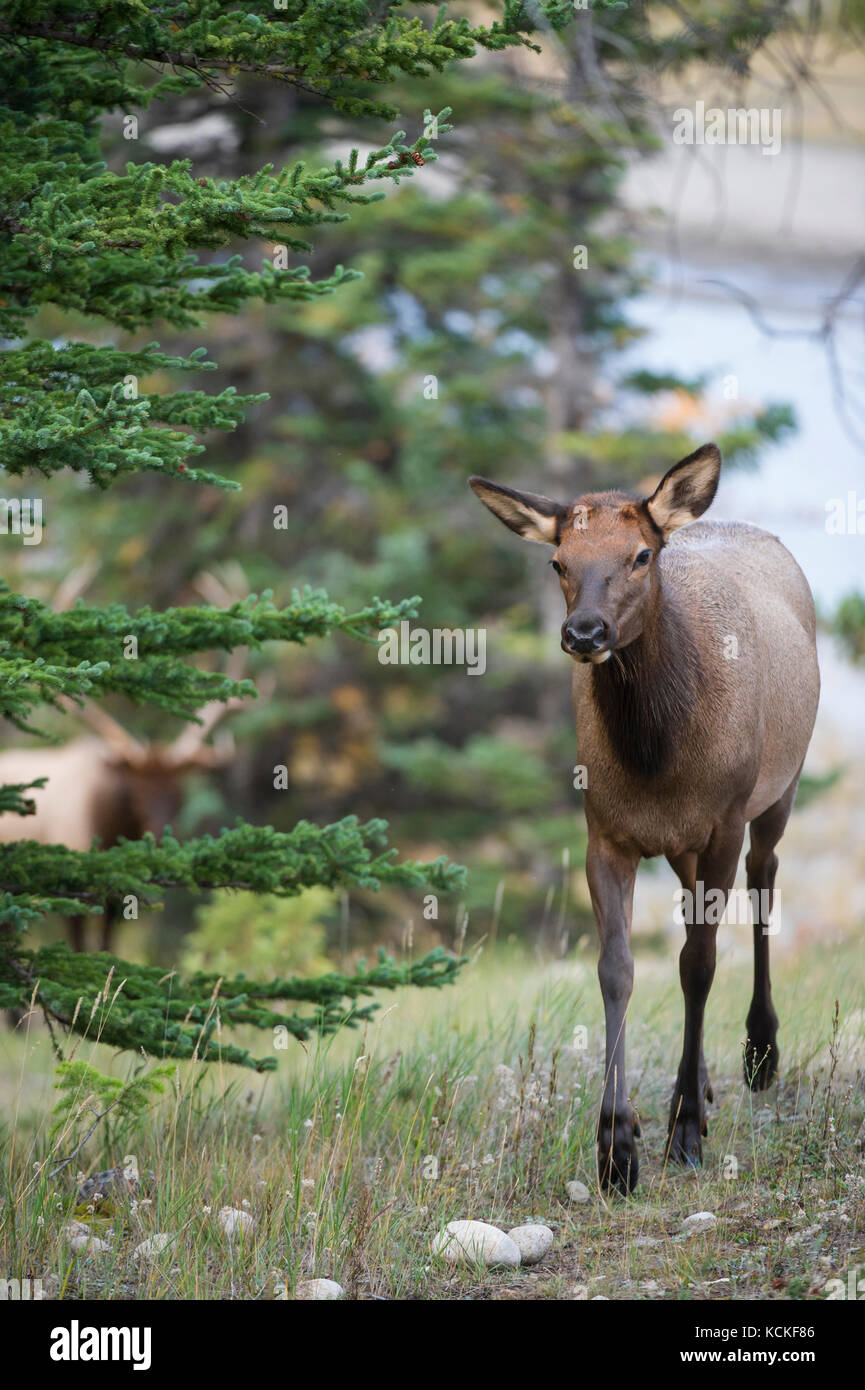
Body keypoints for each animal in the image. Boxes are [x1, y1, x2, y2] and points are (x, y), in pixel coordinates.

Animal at [470, 444, 820, 1193]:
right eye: (558, 561)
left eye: (639, 555)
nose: (584, 632)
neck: (657, 760)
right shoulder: (604, 832)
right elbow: (617, 968)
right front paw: (615, 1147)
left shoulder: (723, 822)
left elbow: (698, 965)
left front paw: (681, 1132)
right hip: (687, 845)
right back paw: (709, 1085)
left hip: (778, 787)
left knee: (764, 878)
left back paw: (758, 1054)